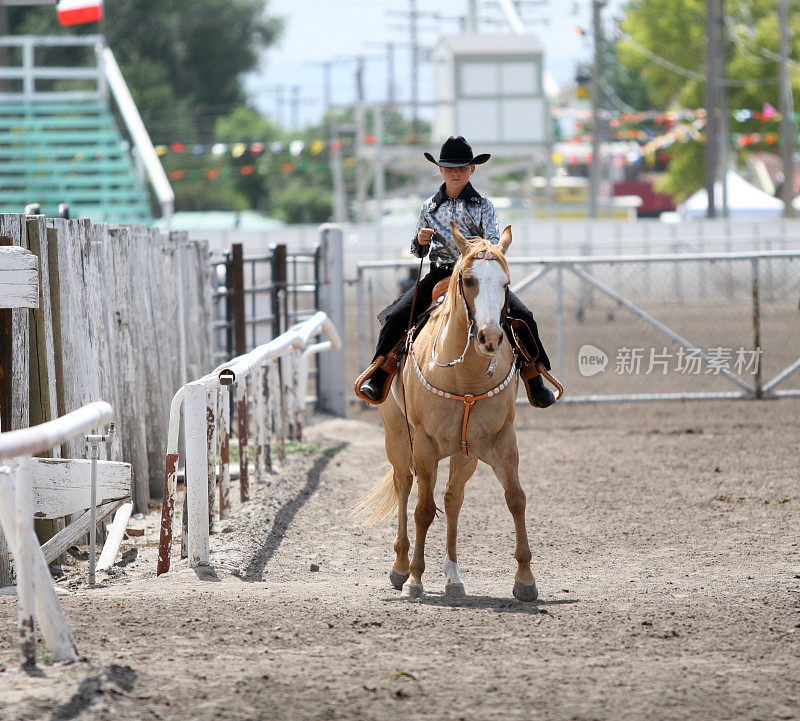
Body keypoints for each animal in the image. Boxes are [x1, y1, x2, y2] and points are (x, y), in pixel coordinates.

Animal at [358, 221, 536, 600]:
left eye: (506, 283)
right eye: (468, 280)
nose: (489, 337)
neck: (463, 375)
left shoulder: (501, 439)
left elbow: (516, 498)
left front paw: (526, 579)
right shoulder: (424, 445)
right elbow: (423, 510)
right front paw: (415, 579)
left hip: (463, 452)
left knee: (454, 499)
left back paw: (454, 578)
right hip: (398, 438)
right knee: (404, 485)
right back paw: (400, 567)